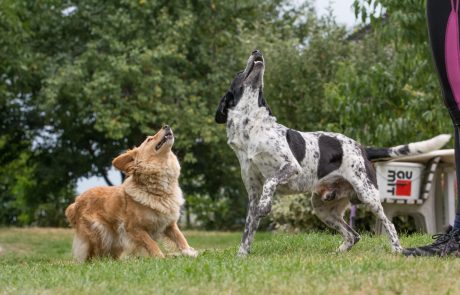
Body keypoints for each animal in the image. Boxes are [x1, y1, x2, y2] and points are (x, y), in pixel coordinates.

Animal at [64, 126, 196, 262]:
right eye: (149, 139)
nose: (166, 126)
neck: (158, 191)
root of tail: (75, 203)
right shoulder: (133, 228)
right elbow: (150, 242)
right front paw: (159, 257)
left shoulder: (169, 224)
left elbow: (180, 237)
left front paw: (189, 252)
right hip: (100, 232)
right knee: (94, 256)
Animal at [216, 50, 450, 256]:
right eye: (238, 73)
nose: (256, 51)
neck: (252, 129)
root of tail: (362, 148)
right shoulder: (253, 192)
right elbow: (248, 231)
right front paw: (241, 256)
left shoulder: (290, 166)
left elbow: (270, 182)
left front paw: (266, 205)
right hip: (323, 208)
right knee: (353, 235)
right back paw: (337, 253)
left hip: (368, 195)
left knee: (389, 225)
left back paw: (397, 250)